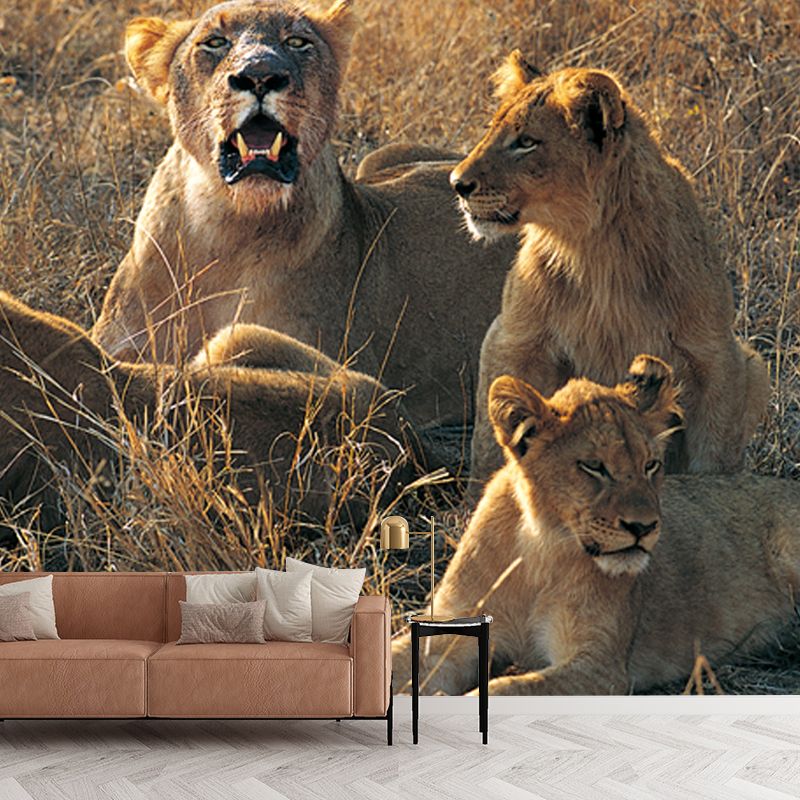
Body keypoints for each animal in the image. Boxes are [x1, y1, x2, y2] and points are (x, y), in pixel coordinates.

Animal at [391, 355, 800, 695]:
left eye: (651, 465)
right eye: (594, 467)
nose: (643, 527)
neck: (538, 551)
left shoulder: (599, 666)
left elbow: (505, 689)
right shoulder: (449, 630)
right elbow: (395, 660)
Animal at [449, 53, 769, 483]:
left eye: (526, 142)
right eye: (492, 130)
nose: (456, 183)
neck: (593, 249)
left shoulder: (715, 357)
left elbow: (714, 458)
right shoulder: (512, 339)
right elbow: (489, 446)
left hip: (754, 367)